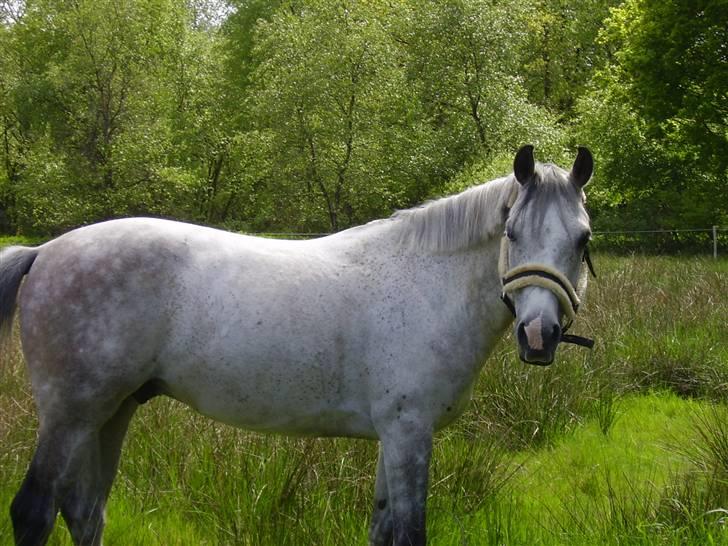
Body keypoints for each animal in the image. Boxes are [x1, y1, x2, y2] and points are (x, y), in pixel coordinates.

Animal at [0, 146, 592, 544]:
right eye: (511, 232)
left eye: (582, 238)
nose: (538, 335)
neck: (425, 282)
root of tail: (46, 250)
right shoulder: (409, 433)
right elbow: (407, 534)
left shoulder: (394, 435)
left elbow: (382, 531)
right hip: (69, 415)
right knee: (34, 512)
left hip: (111, 411)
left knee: (85, 512)